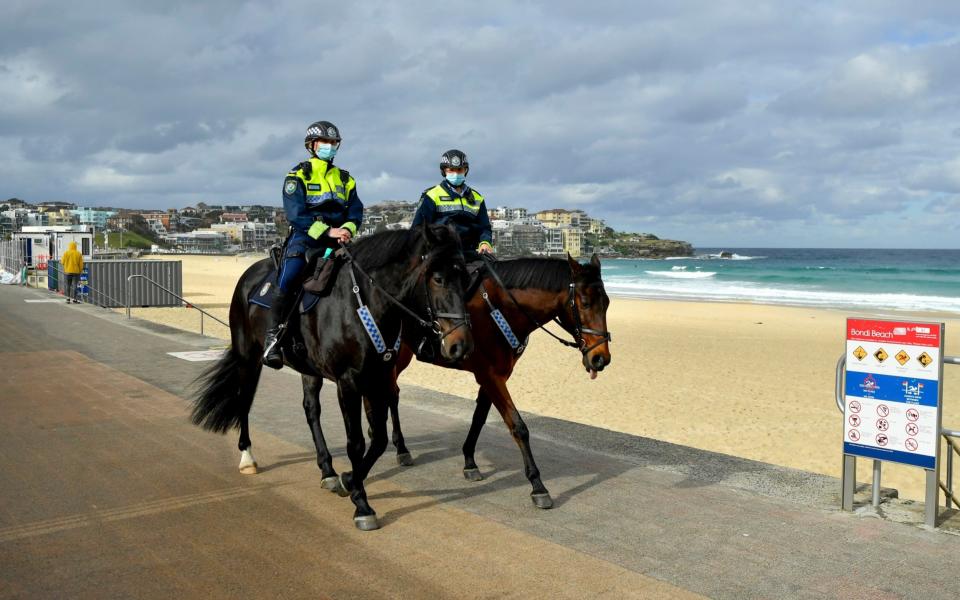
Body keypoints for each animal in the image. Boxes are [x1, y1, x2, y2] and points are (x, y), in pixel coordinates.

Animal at [190, 226, 472, 528]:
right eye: (439, 279)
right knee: (244, 401)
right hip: (248, 356)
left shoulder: (378, 378)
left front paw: (349, 479)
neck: (362, 303)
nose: (461, 345)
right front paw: (362, 504)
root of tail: (249, 275)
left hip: (308, 370)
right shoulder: (348, 383)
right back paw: (247, 457)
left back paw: (327, 470)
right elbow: (356, 443)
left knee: (311, 410)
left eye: (466, 278)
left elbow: (379, 439)